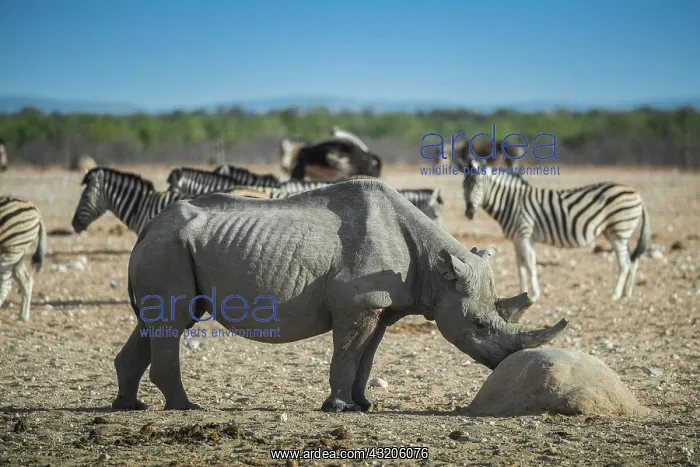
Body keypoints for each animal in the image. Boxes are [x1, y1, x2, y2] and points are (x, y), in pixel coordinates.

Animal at [114, 179, 568, 412]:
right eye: (477, 324)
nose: (503, 363)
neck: (437, 268)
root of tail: (148, 226)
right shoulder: (358, 305)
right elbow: (348, 353)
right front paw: (339, 407)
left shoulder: (381, 308)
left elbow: (365, 357)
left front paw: (363, 404)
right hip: (169, 247)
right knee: (172, 321)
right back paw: (185, 407)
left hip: (168, 246)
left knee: (156, 323)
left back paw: (129, 407)